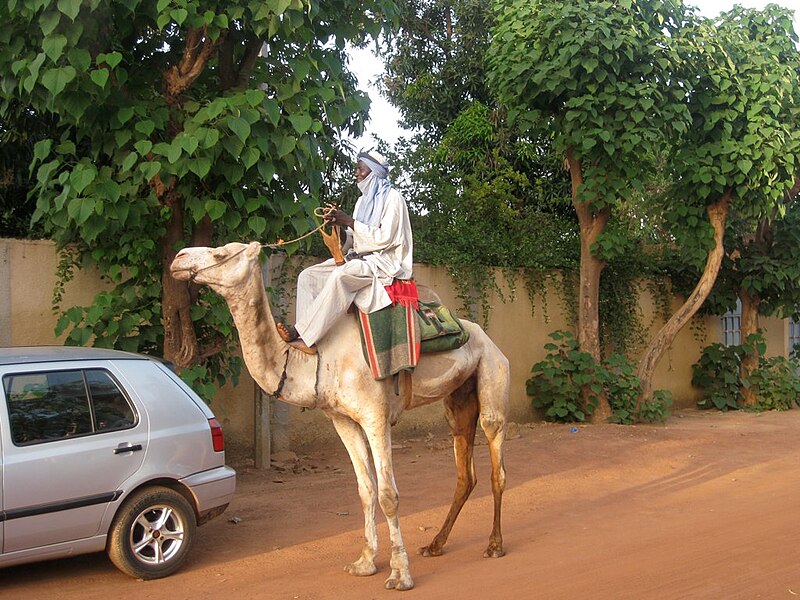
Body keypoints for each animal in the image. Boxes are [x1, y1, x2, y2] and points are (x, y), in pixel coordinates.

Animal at [171, 240, 510, 592]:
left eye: (221, 253)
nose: (178, 258)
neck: (318, 360)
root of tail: (486, 337)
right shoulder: (342, 419)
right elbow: (366, 490)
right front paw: (365, 563)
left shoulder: (376, 416)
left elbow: (388, 495)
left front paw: (400, 575)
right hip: (458, 398)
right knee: (464, 471)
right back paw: (435, 544)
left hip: (493, 371)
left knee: (494, 453)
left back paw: (494, 544)